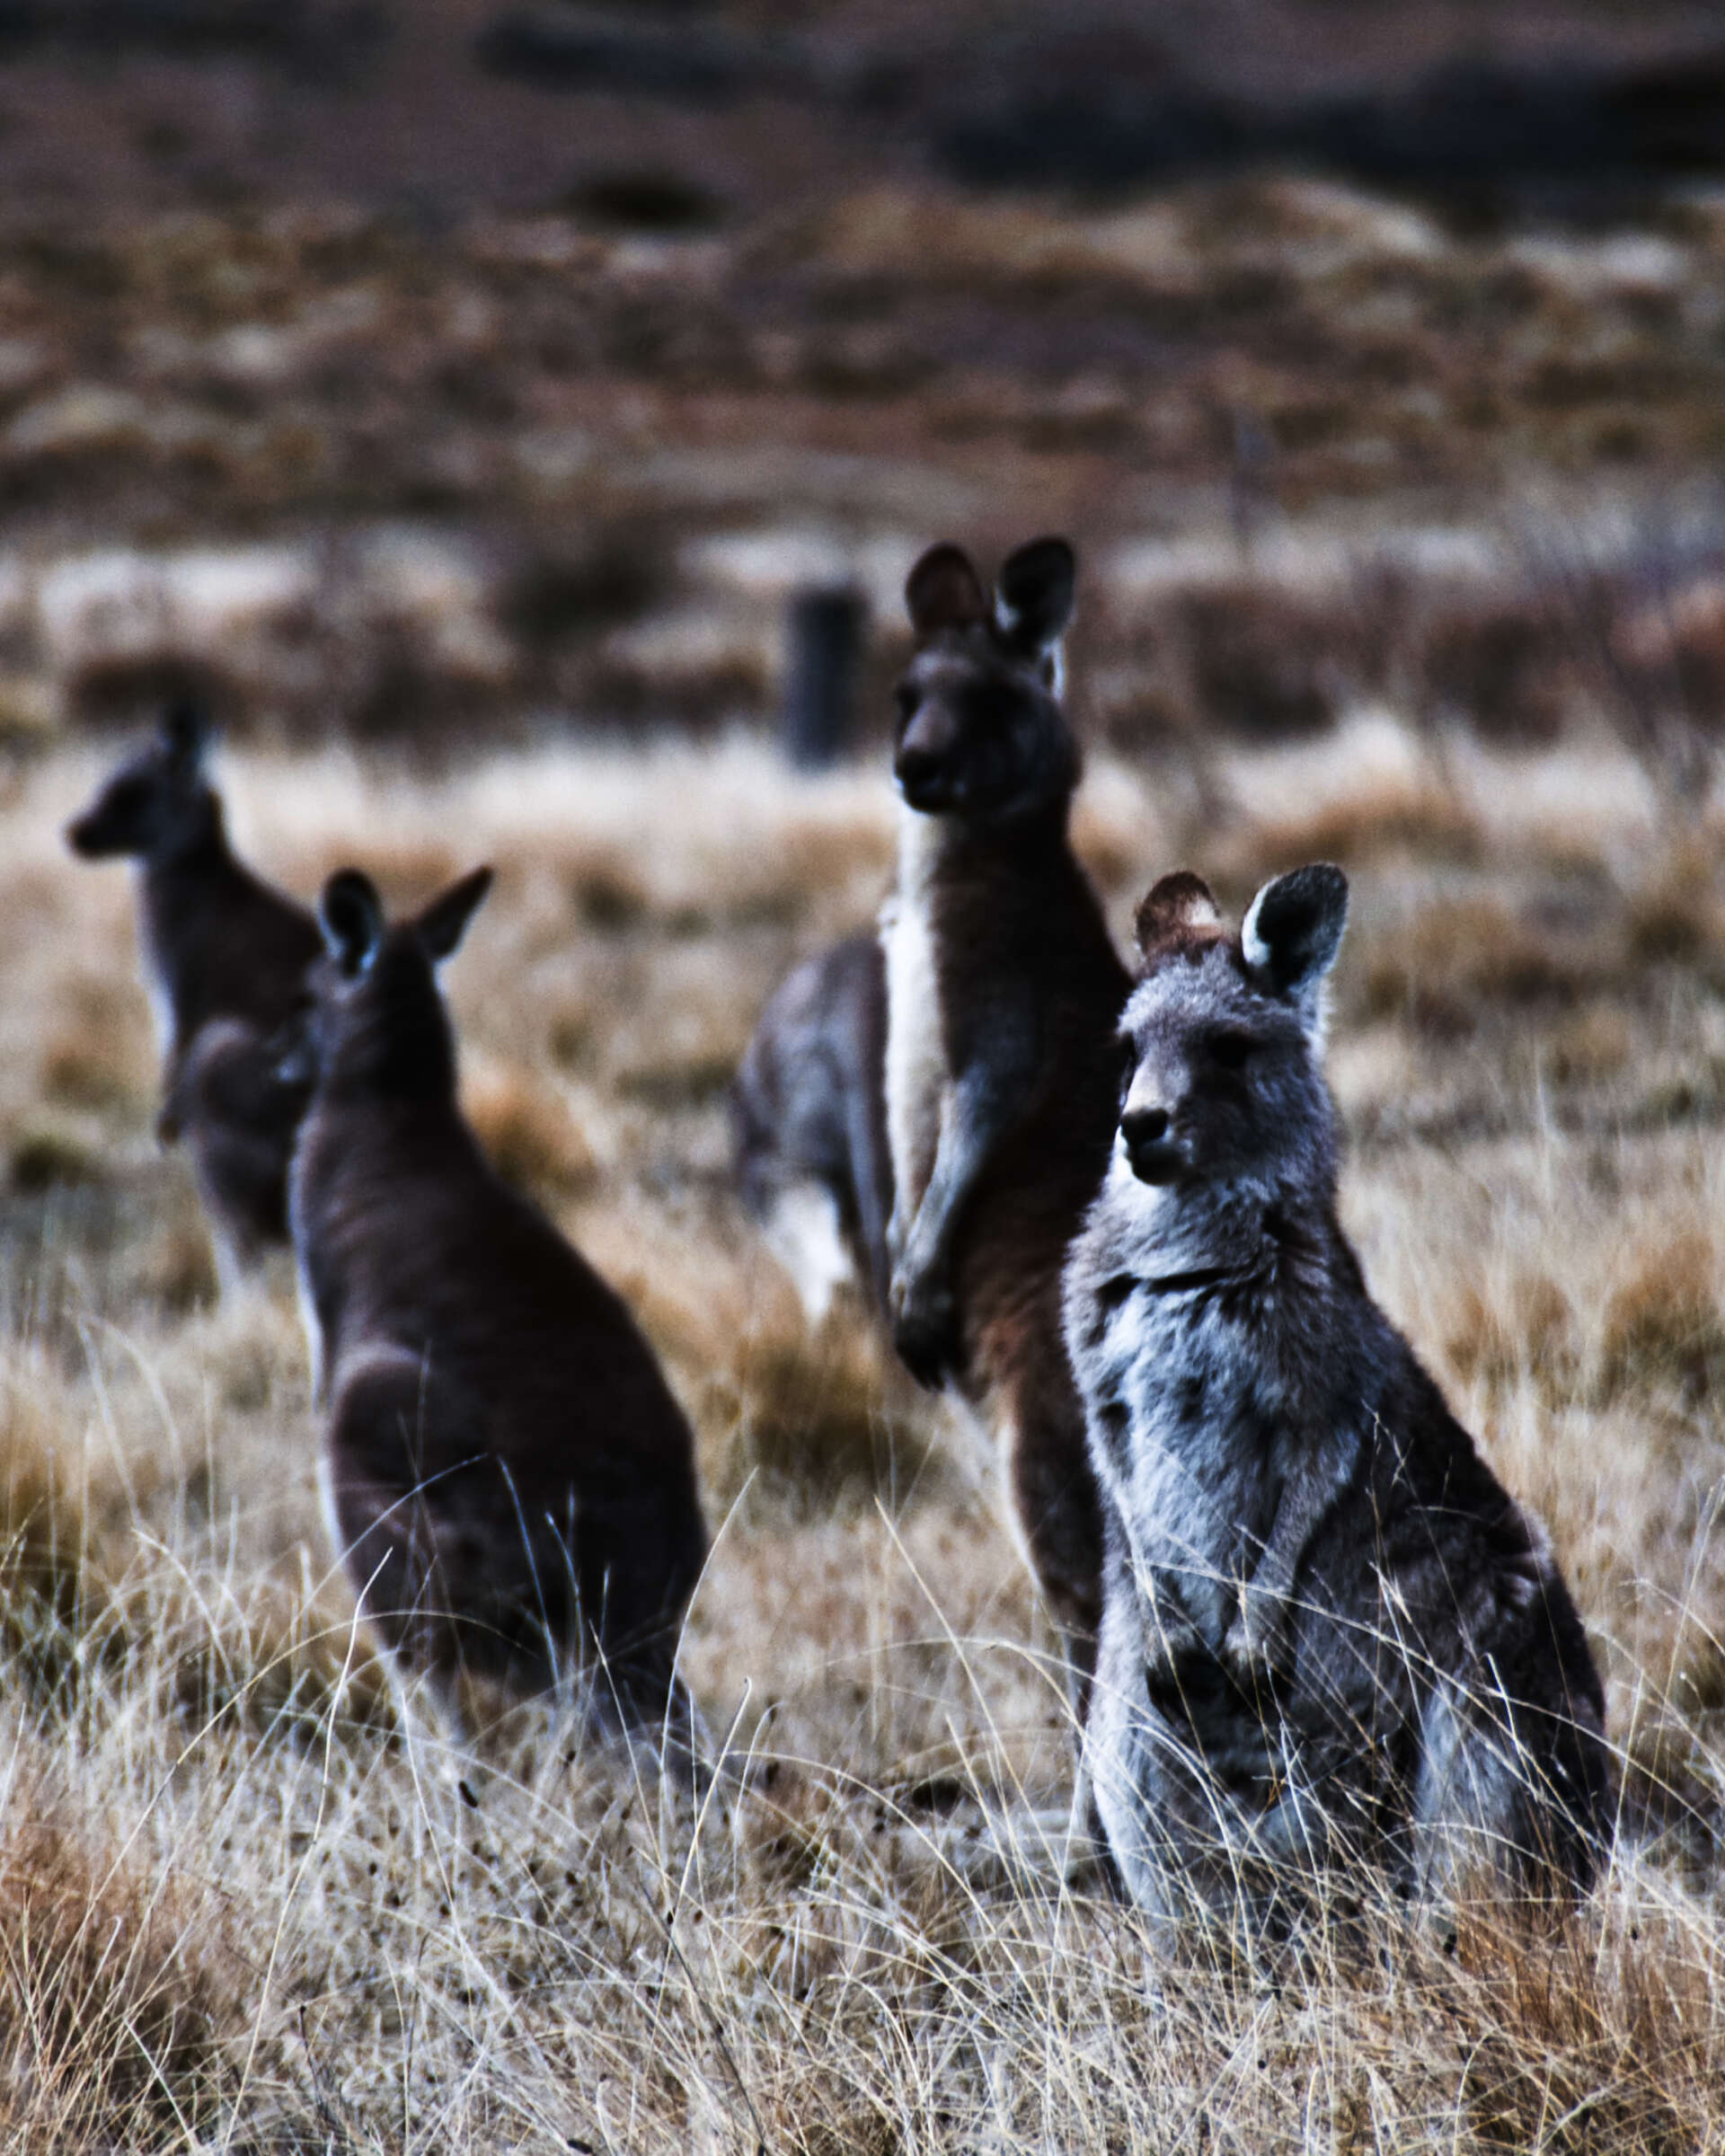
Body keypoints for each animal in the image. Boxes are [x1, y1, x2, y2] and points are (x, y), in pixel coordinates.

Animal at [64, 700, 323, 1283]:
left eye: (131, 793)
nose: (75, 834)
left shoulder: (182, 991)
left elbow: (173, 1049)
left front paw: (163, 1132)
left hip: (223, 1060)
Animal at [290, 864, 709, 1769]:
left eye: (309, 991)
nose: (279, 1056)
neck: (395, 1100)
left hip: (382, 1443)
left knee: (446, 1670)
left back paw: (454, 1775)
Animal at [1063, 865, 1611, 1932]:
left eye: (1229, 1050)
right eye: (1127, 1050)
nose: (1138, 1128)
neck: (1186, 1262)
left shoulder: (1327, 1395)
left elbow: (1307, 1497)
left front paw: (1251, 1648)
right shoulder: (1101, 1384)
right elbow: (1127, 1499)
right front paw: (1194, 1642)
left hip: (1486, 1692)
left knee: (1465, 1870)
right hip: (1128, 1746)